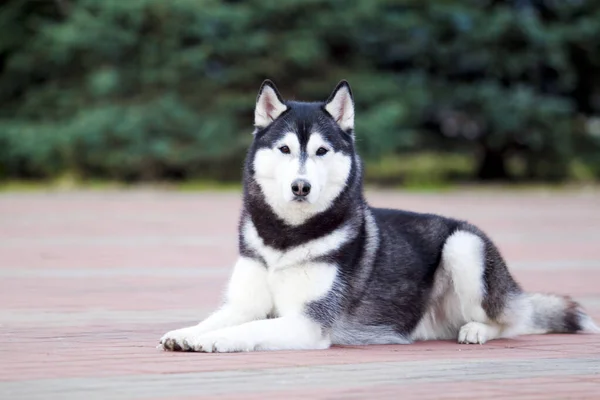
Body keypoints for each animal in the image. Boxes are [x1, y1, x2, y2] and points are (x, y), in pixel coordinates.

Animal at [159, 79, 600, 352]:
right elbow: (221, 318)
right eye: (285, 149)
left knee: (508, 321)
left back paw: (477, 329)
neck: (285, 237)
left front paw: (214, 341)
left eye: (320, 151)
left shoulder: (307, 322)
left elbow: (246, 328)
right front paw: (188, 333)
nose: (301, 187)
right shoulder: (243, 302)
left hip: (464, 245)